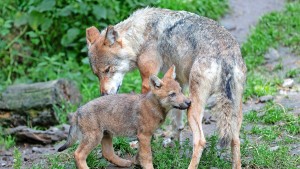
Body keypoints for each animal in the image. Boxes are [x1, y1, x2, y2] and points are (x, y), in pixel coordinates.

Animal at [86, 7, 246, 168]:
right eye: (96, 74)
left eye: (108, 70)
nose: (104, 94)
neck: (142, 34)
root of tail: (225, 56)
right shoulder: (179, 83)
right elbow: (178, 122)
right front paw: (174, 144)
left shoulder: (147, 80)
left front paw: (139, 148)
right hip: (234, 113)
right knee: (235, 140)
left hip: (194, 108)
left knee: (200, 141)